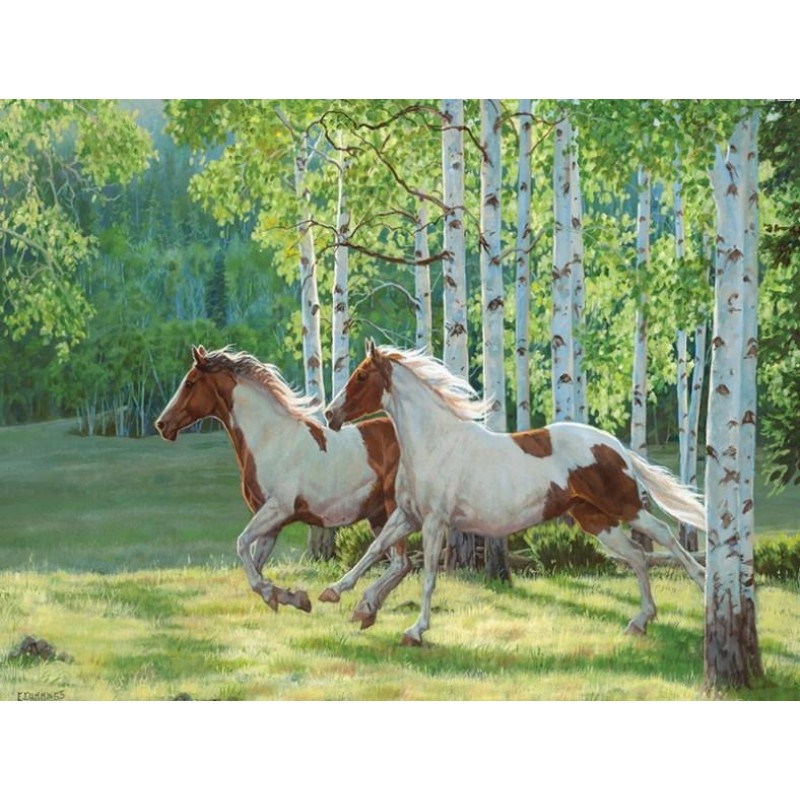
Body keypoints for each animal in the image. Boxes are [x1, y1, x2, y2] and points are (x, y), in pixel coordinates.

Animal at [156, 345, 413, 623]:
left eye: (190, 382)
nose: (162, 424)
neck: (270, 439)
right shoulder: (271, 522)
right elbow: (255, 565)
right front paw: (292, 598)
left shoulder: (277, 509)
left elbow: (242, 545)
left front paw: (279, 595)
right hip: (378, 515)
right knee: (400, 564)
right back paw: (366, 608)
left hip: (394, 509)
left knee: (397, 562)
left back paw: (343, 597)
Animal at [321, 341, 707, 646]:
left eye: (361, 376)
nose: (329, 414)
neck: (434, 443)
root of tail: (615, 446)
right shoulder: (408, 516)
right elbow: (375, 550)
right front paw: (342, 596)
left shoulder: (433, 522)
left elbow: (428, 575)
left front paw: (415, 630)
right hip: (597, 520)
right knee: (638, 556)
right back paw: (639, 622)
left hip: (625, 506)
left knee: (664, 535)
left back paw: (704, 586)